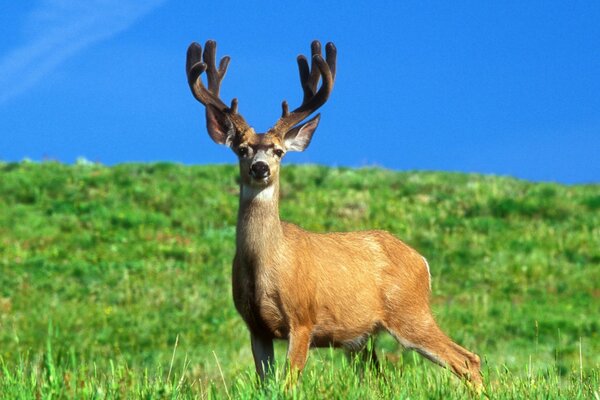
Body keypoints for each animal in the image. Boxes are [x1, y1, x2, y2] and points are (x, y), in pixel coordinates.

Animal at [186, 39, 482, 388]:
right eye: (242, 149)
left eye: (279, 151)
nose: (260, 168)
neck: (265, 264)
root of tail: (421, 260)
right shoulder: (255, 325)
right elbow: (265, 382)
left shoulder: (302, 318)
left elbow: (289, 383)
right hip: (362, 338)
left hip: (410, 312)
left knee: (468, 359)